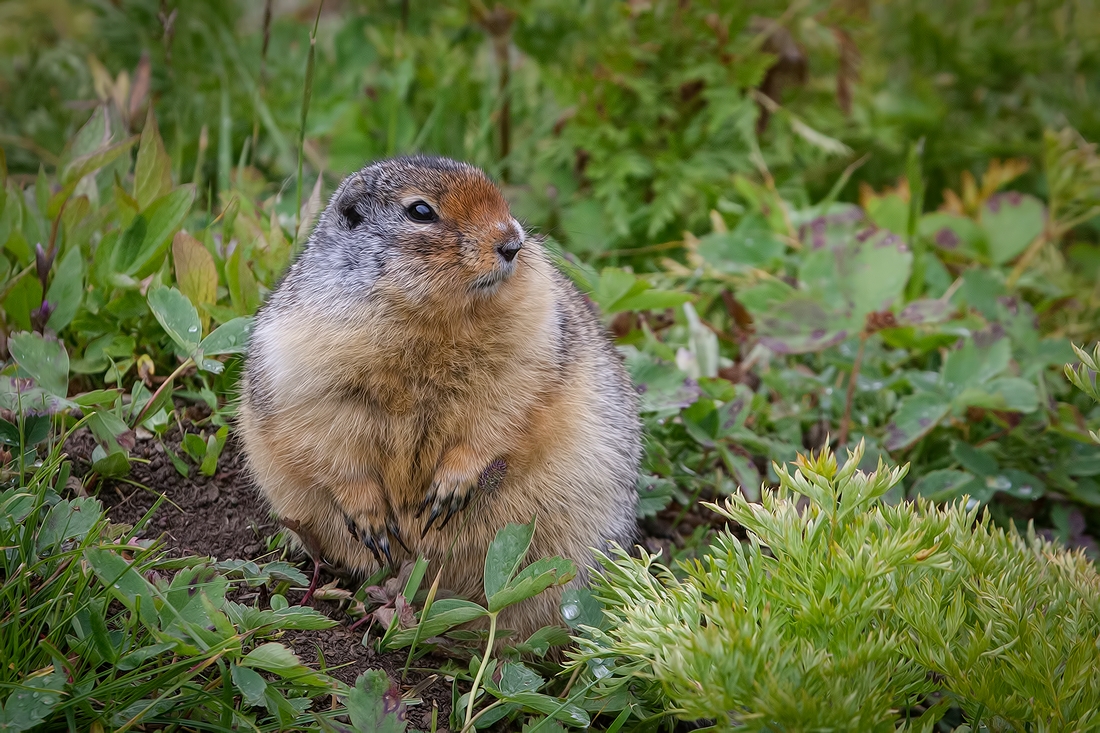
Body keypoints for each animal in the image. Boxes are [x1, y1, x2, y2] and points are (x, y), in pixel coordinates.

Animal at [236, 157, 642, 638]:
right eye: (420, 211)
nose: (513, 243)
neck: (431, 323)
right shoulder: (301, 366)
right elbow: (325, 443)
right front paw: (372, 521)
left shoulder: (531, 346)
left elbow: (502, 414)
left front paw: (449, 490)